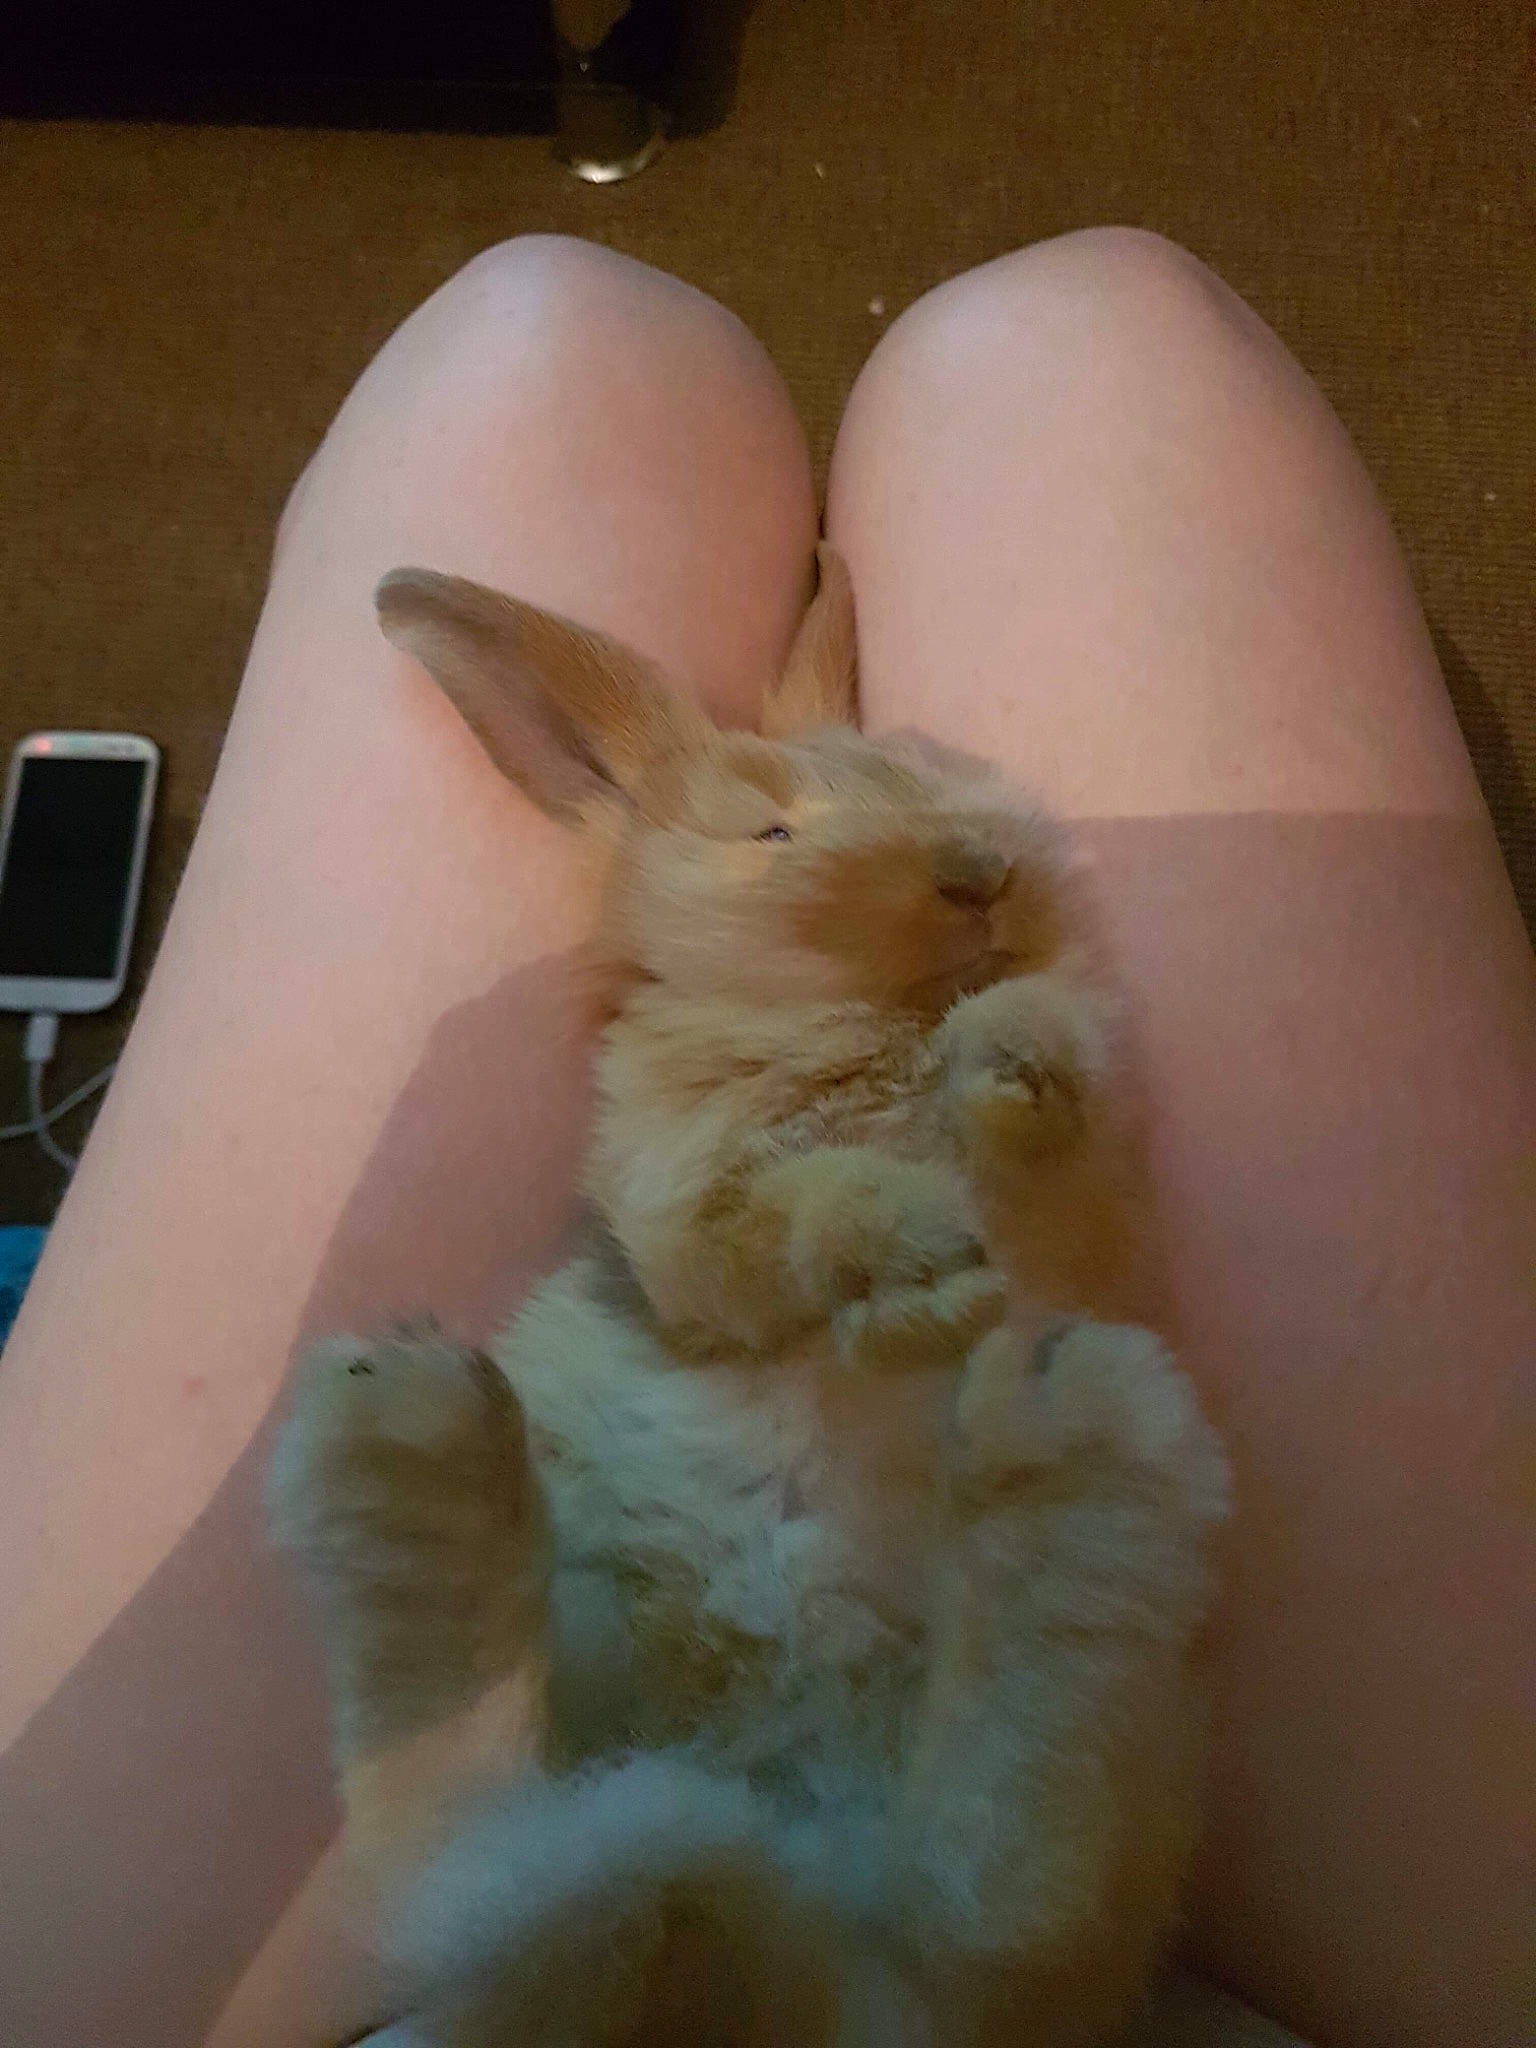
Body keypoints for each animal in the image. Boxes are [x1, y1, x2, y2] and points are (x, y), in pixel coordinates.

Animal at [269, 547, 1230, 2048]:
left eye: (936, 774)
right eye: (771, 834)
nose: (981, 872)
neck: (860, 1036)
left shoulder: (1101, 1240)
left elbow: (1055, 1187)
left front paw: (1016, 1056)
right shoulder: (679, 1216)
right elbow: (771, 1225)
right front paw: (909, 1255)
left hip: (1098, 1820)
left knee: (1001, 1884)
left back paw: (1068, 1445)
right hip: (599, 1656)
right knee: (462, 1826)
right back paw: (411, 1441)